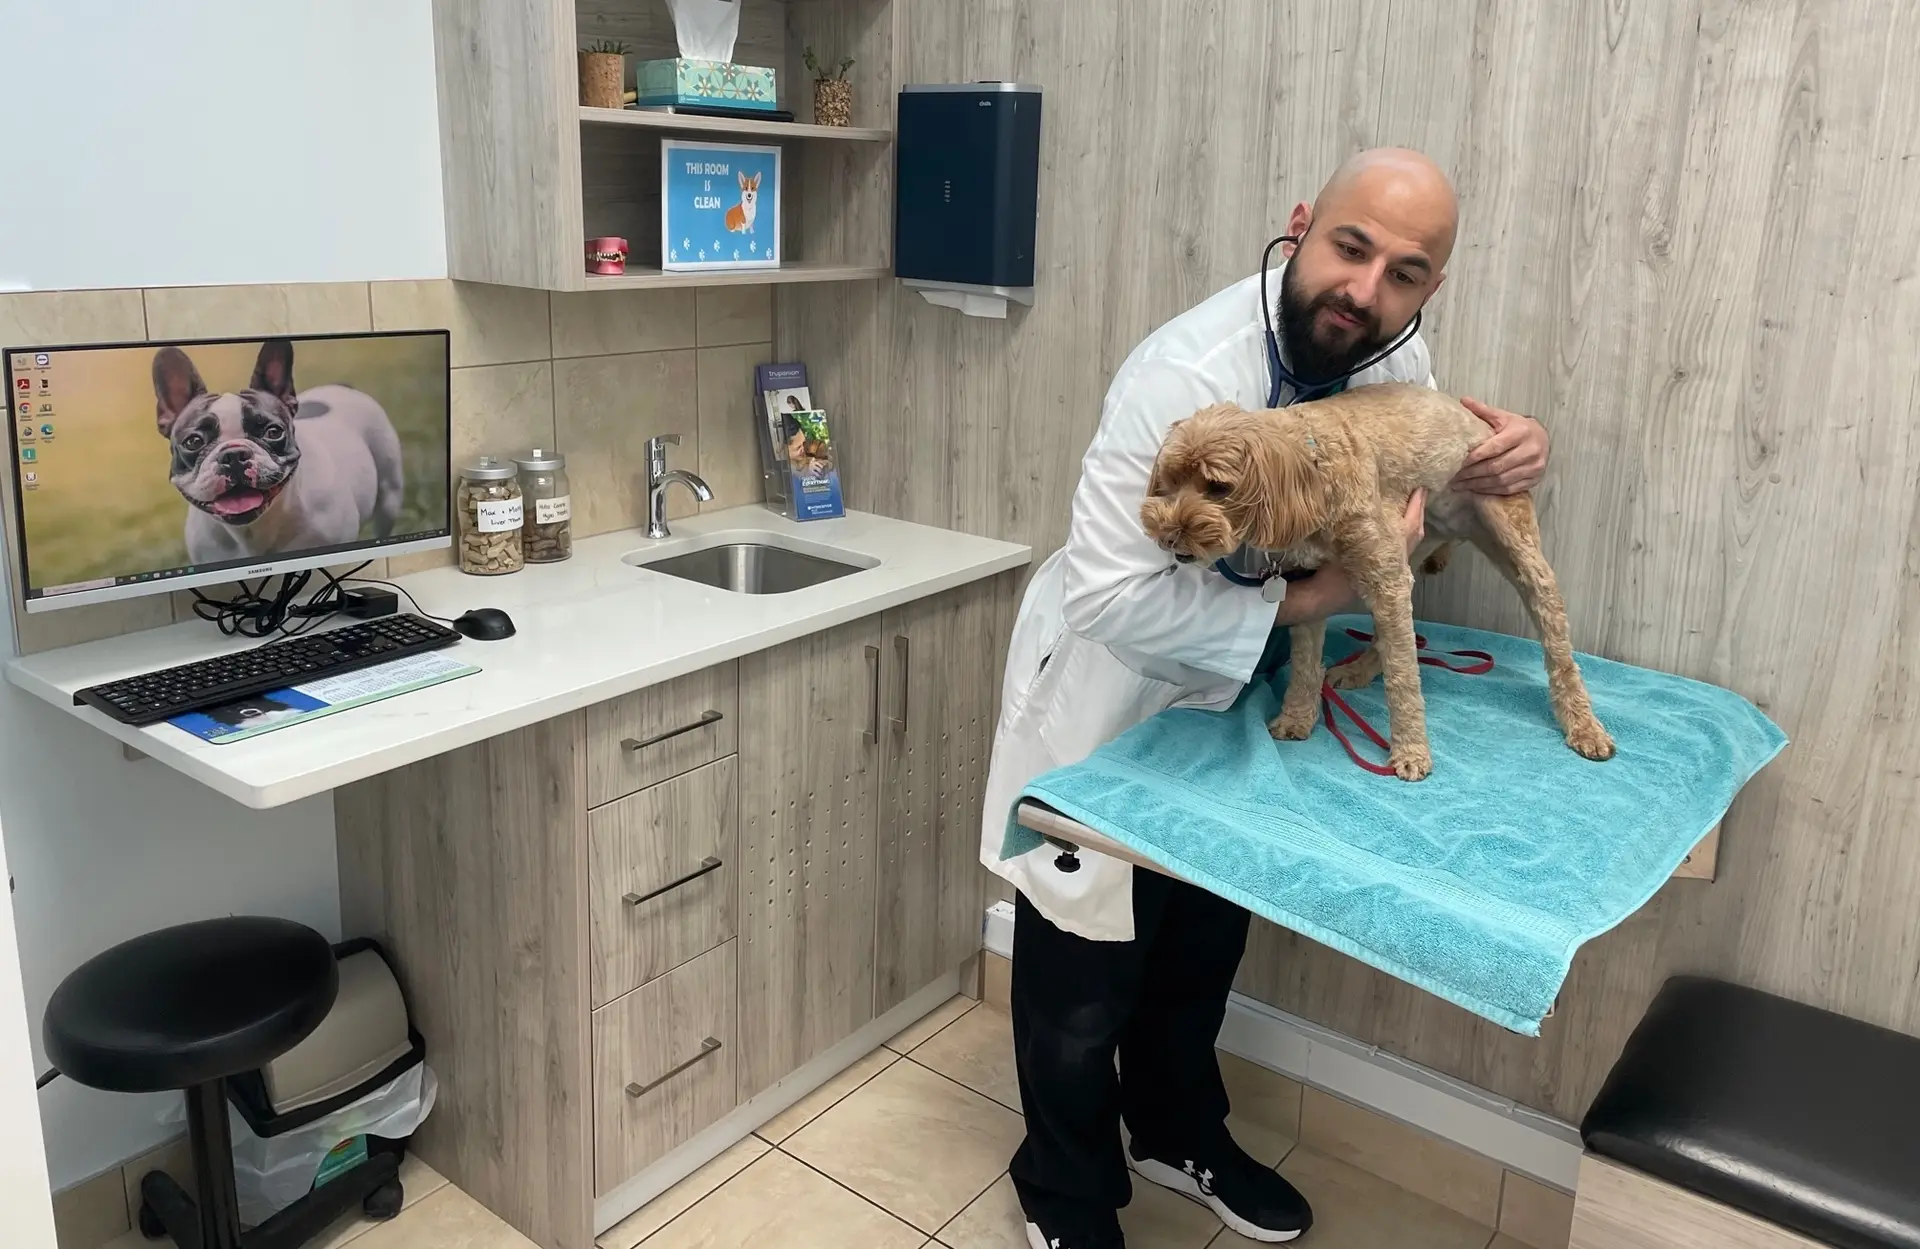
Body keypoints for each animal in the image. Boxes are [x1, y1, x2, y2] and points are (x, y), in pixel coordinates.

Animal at [1144, 383, 1612, 782]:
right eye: (1170, 482)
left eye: (1217, 486)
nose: (1167, 534)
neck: (1313, 465)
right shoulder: (1314, 583)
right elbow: (1307, 662)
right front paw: (1297, 718)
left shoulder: (1385, 572)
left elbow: (1404, 678)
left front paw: (1411, 753)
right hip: (1417, 543)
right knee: (1393, 635)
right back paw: (1359, 669)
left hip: (1509, 531)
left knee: (1552, 633)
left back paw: (1584, 726)